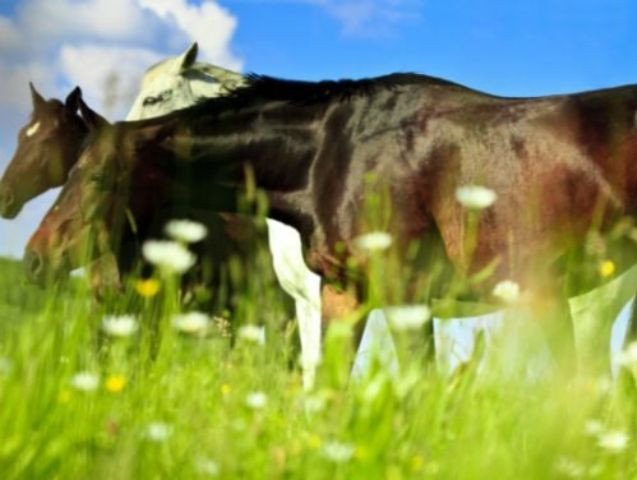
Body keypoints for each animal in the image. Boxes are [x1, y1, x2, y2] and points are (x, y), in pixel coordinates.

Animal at [24, 73, 637, 368]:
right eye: (69, 171)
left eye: (98, 180)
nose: (33, 258)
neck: (333, 151)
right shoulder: (343, 294)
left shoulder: (405, 294)